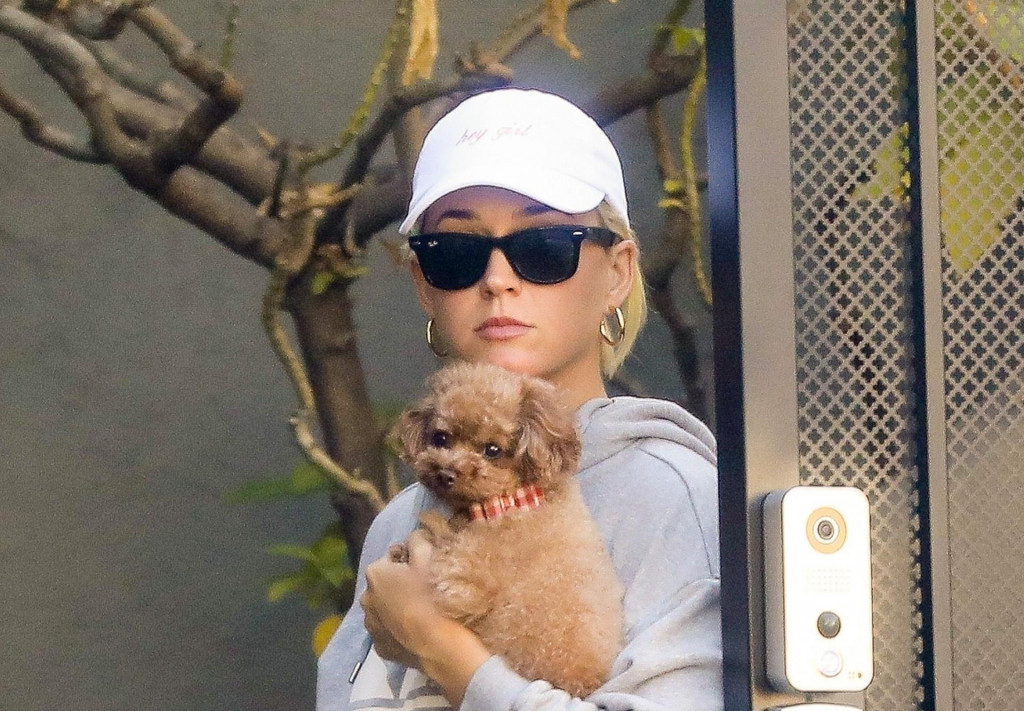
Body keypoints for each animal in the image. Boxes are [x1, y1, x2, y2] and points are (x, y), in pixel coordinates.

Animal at [390, 361, 624, 698]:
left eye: (492, 450)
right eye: (441, 438)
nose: (445, 474)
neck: (510, 501)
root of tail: (582, 682)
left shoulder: (463, 584)